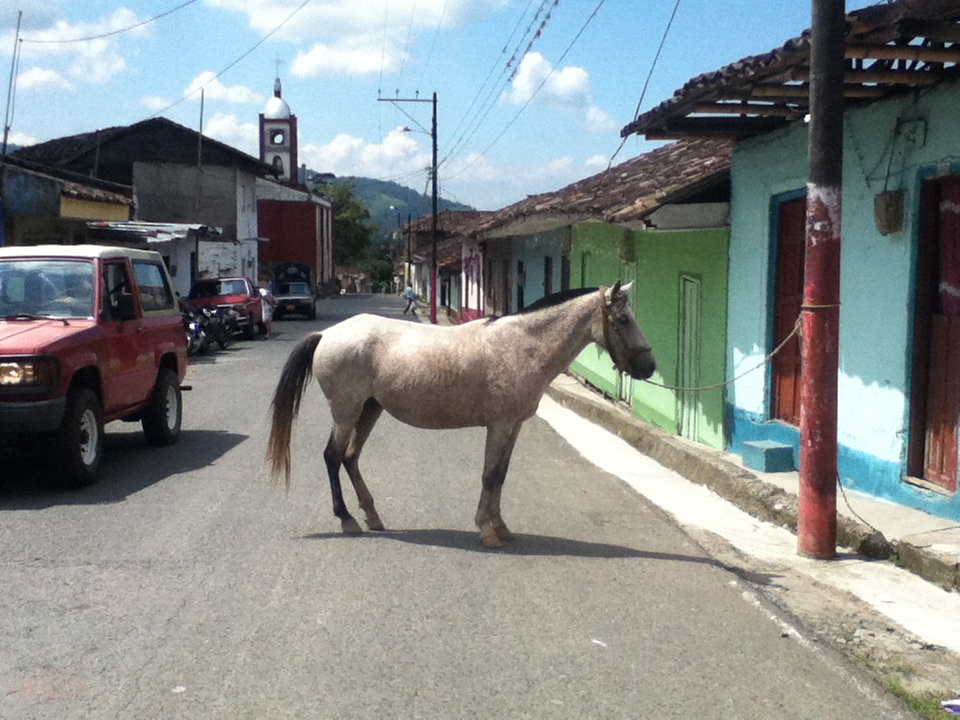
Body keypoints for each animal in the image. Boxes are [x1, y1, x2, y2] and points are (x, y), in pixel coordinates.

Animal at [266, 281, 656, 548]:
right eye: (623, 319)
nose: (649, 367)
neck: (522, 346)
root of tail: (326, 334)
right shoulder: (499, 426)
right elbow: (490, 475)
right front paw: (487, 529)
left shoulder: (512, 427)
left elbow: (500, 476)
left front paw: (501, 526)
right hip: (346, 412)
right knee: (333, 457)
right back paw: (348, 520)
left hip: (369, 410)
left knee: (350, 457)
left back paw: (372, 515)